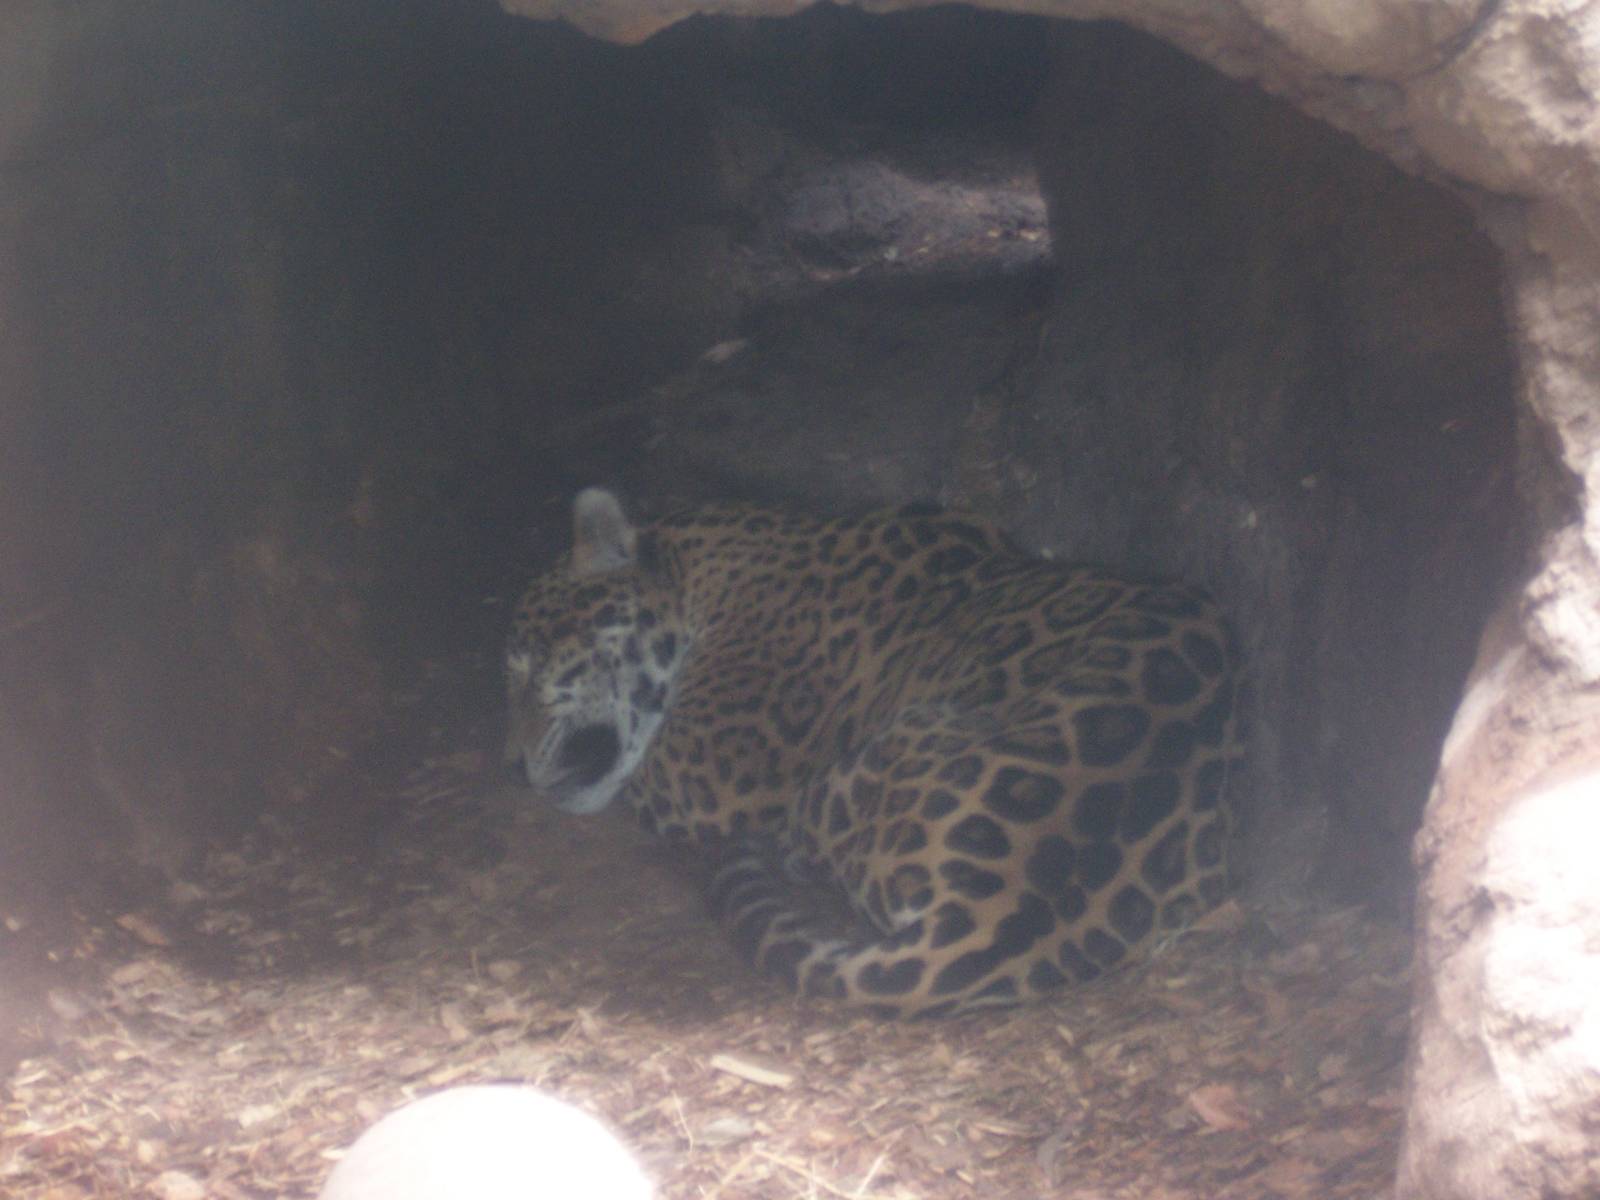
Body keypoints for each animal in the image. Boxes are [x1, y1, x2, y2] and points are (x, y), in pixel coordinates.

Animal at [504, 488, 1241, 1018]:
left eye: (530, 663)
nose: (515, 769)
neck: (708, 562)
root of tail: (999, 910)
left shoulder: (707, 769)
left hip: (866, 758)